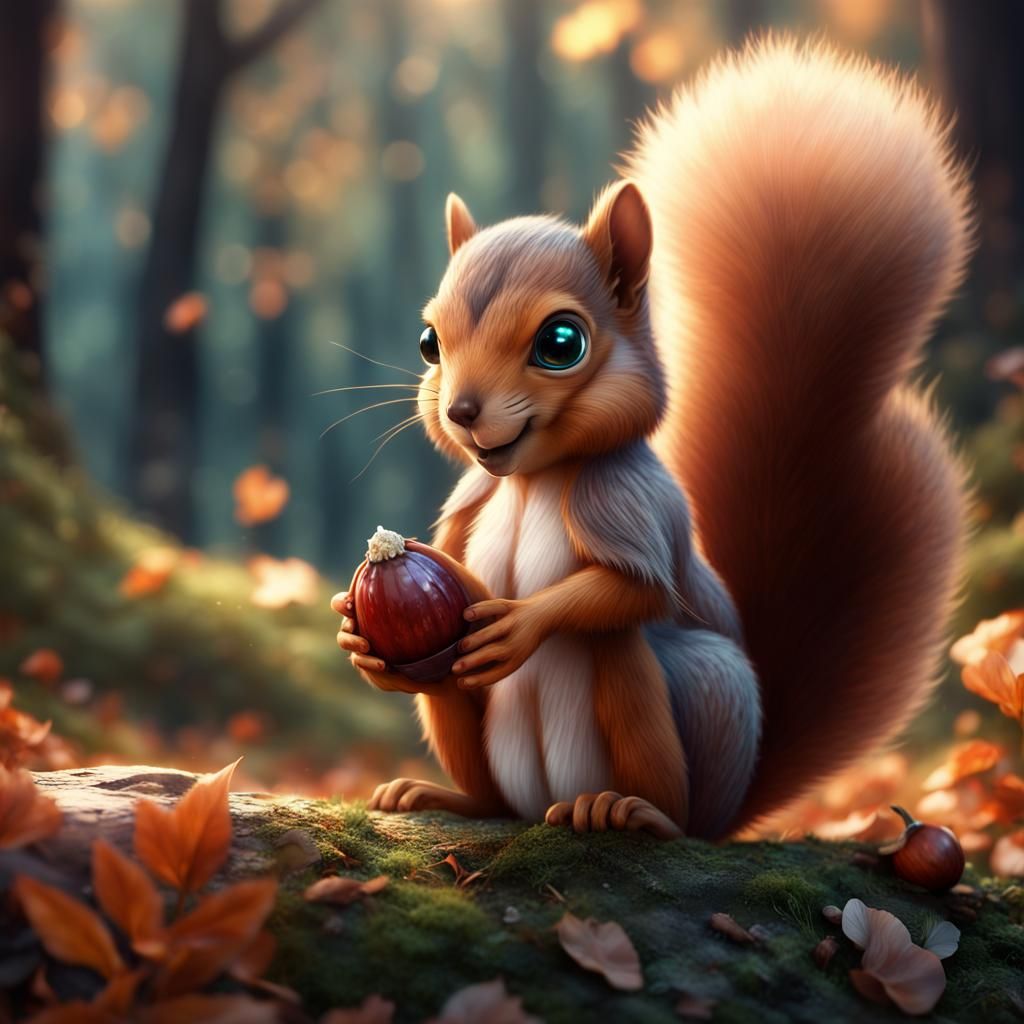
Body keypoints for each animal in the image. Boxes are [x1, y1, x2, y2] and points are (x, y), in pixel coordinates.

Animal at [334, 38, 973, 840]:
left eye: (562, 343)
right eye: (429, 343)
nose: (462, 411)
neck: (536, 478)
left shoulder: (625, 498)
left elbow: (635, 589)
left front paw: (522, 622)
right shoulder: (470, 499)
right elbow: (449, 566)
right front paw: (354, 634)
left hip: (697, 696)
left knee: (636, 685)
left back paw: (630, 810)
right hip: (466, 714)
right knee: (470, 746)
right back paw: (443, 796)